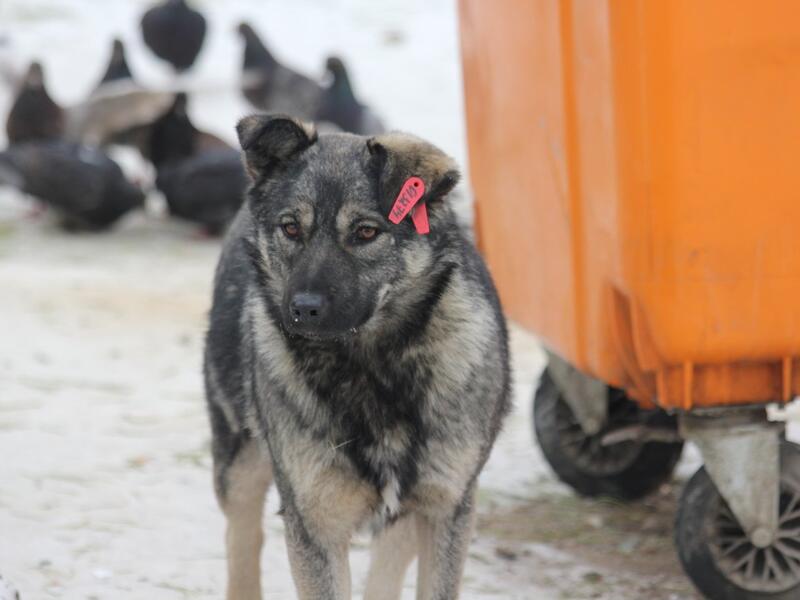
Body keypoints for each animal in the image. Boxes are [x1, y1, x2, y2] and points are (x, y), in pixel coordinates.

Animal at [203, 113, 510, 600]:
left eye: (365, 232)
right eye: (291, 229)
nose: (303, 309)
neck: (371, 366)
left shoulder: (445, 511)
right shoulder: (315, 525)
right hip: (240, 462)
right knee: (242, 539)